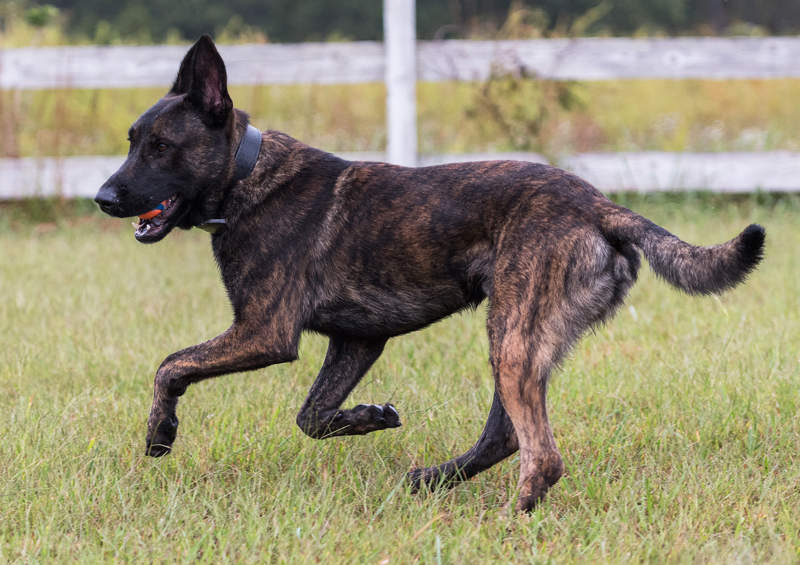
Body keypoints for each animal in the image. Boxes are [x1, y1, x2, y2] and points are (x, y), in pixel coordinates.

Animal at [97, 35, 764, 512]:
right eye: (131, 140)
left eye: (160, 147)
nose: (103, 198)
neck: (244, 173)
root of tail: (599, 205)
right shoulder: (358, 340)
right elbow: (312, 417)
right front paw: (369, 419)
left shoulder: (264, 334)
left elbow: (170, 365)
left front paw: (160, 432)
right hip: (519, 341)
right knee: (505, 438)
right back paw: (434, 481)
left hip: (511, 338)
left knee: (540, 454)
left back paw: (509, 521)